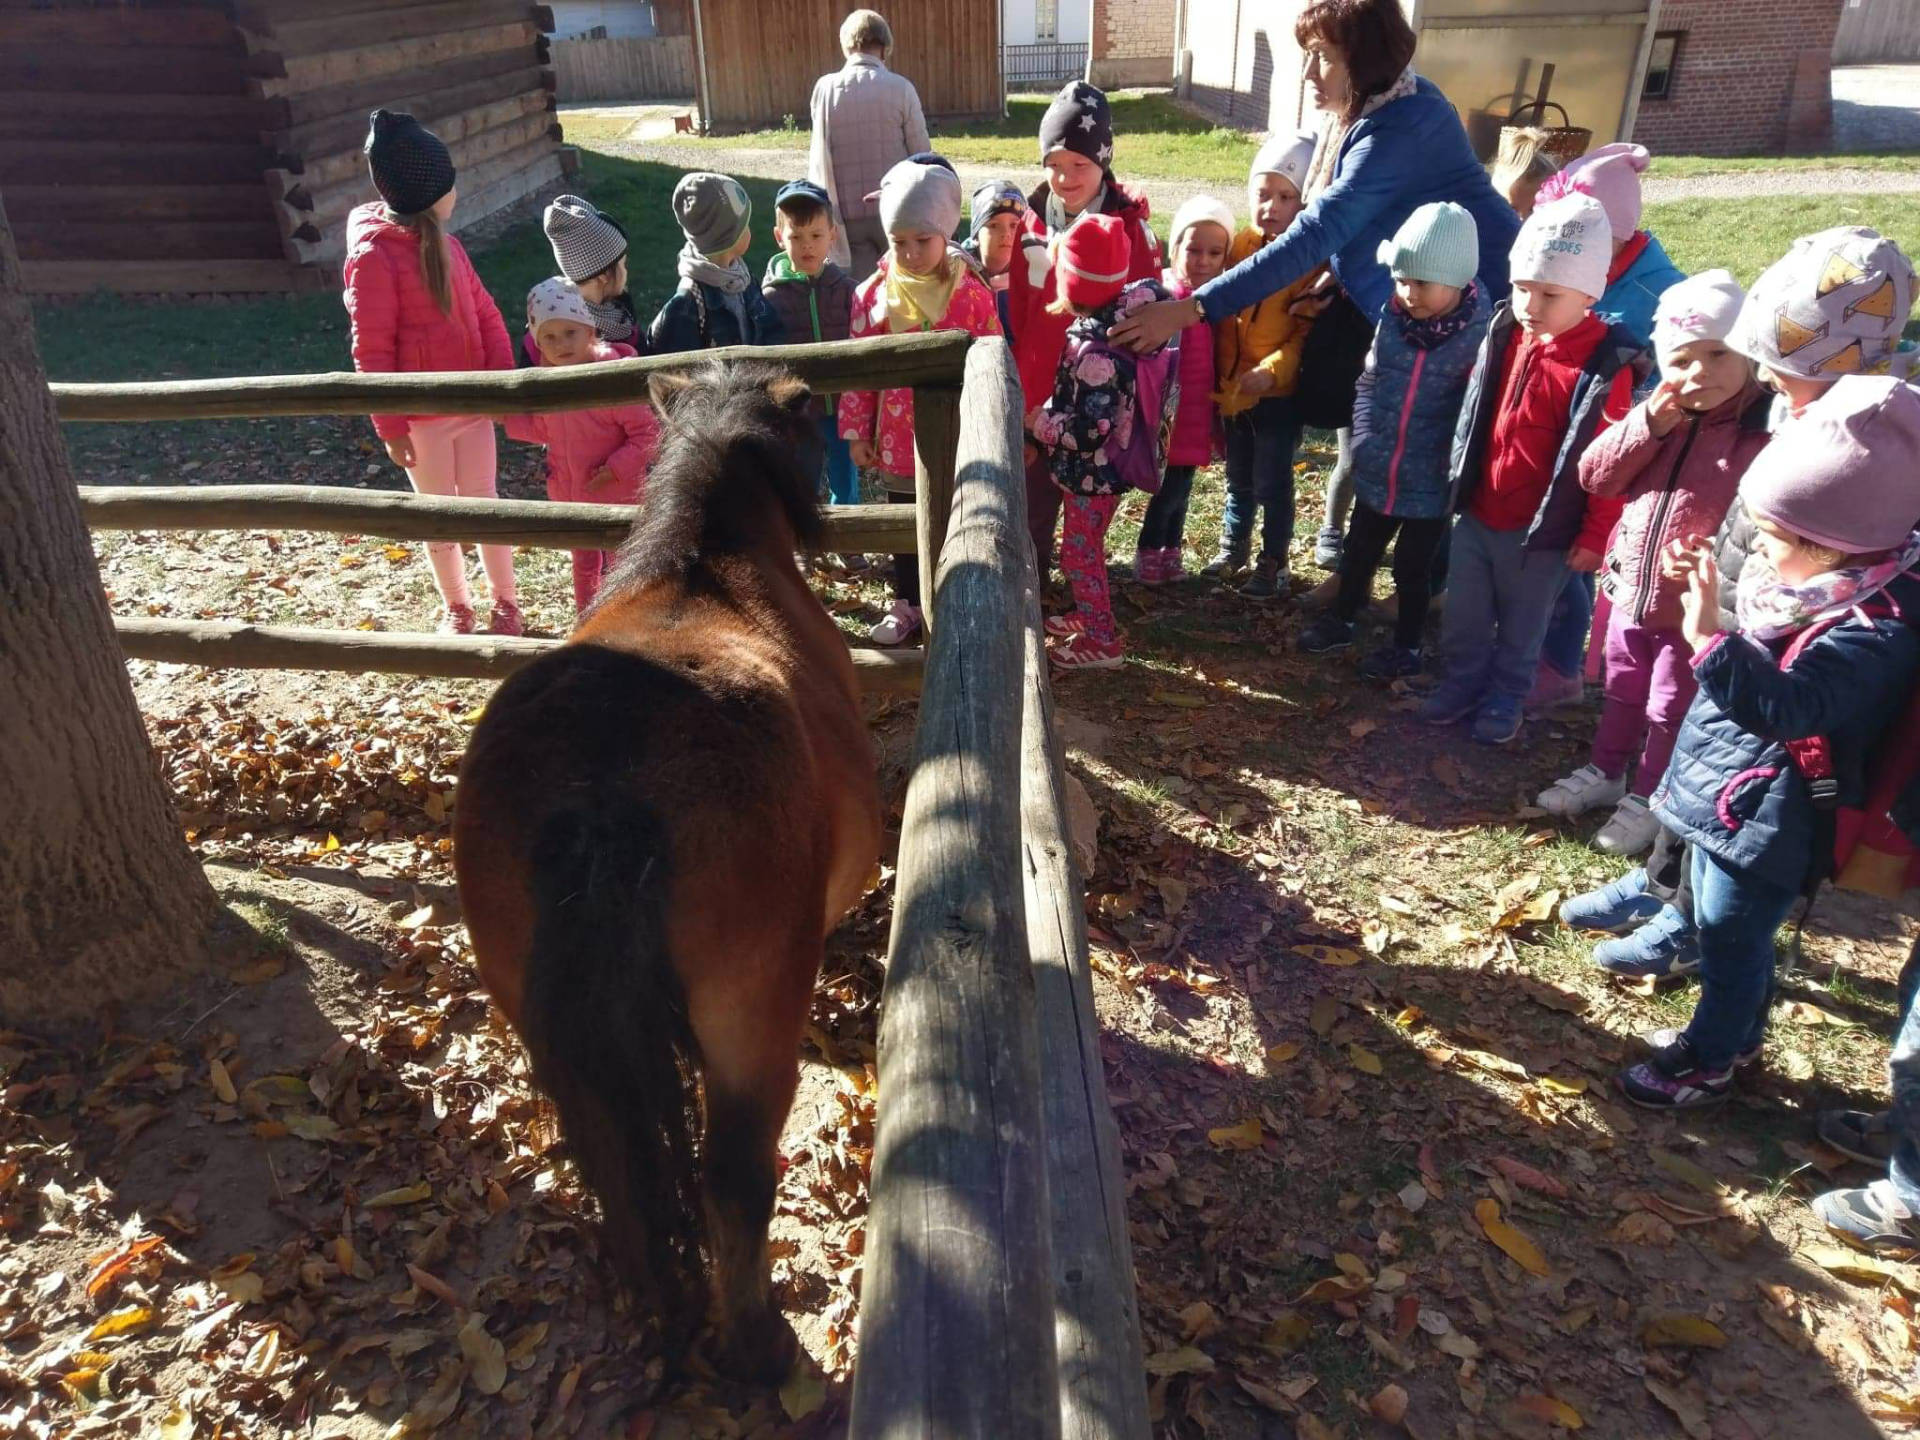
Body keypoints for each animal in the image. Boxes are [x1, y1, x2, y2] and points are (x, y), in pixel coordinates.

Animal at [456, 360, 883, 1374]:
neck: (706, 568)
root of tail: (607, 778)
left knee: (613, 1160)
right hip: (747, 1027)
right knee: (734, 1179)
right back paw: (758, 1346)